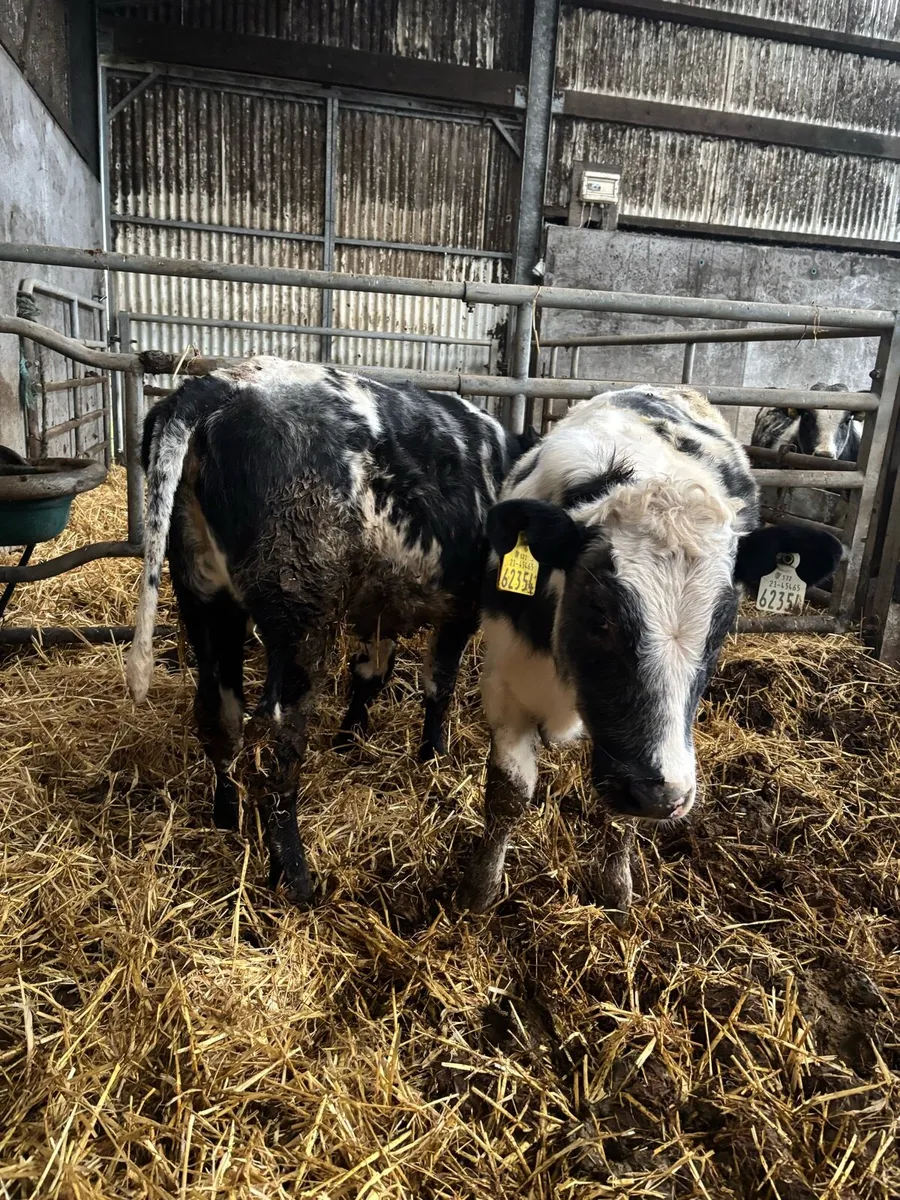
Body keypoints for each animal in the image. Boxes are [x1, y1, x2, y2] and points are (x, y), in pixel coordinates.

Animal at [126, 357, 536, 905]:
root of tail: (220, 384)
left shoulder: (380, 605)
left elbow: (370, 673)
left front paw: (350, 740)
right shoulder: (460, 609)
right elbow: (439, 684)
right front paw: (433, 754)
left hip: (204, 597)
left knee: (219, 713)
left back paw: (226, 816)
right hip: (299, 611)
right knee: (276, 734)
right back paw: (295, 877)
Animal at [456, 386, 843, 916]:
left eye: (723, 625)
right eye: (599, 613)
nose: (664, 797)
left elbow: (622, 819)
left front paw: (617, 888)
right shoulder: (505, 682)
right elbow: (508, 794)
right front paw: (480, 892)